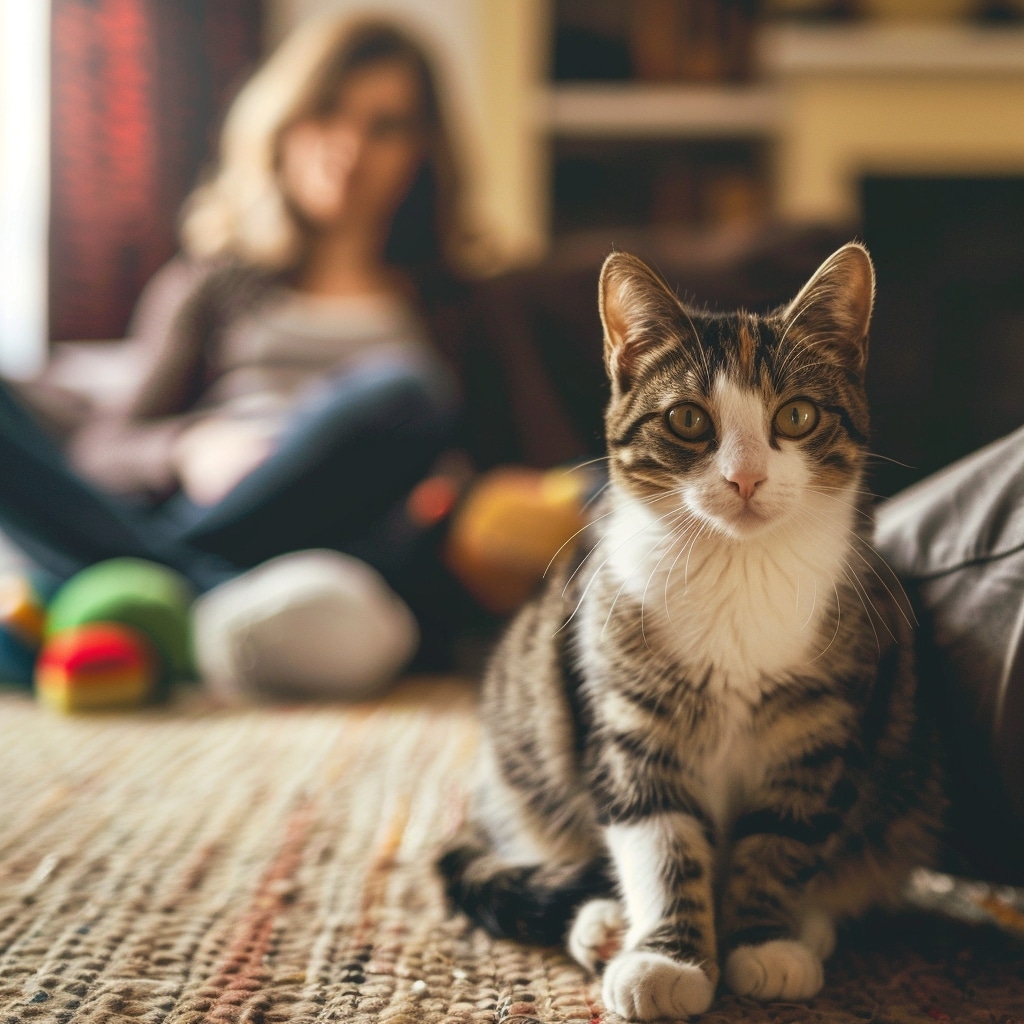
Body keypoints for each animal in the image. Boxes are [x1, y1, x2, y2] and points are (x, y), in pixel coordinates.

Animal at [436, 243, 946, 1019]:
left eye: (797, 415)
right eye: (686, 420)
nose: (745, 478)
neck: (736, 569)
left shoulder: (821, 722)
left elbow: (782, 837)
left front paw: (764, 942)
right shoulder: (629, 715)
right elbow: (662, 840)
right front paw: (667, 959)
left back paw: (810, 924)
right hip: (527, 737)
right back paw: (603, 924)